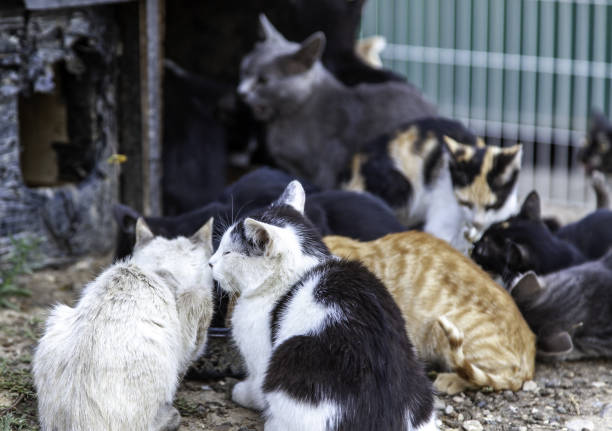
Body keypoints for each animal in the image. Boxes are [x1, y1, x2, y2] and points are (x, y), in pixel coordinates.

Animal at [209, 181, 436, 431]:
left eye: (227, 252)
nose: (210, 263)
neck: (301, 271)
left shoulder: (260, 356)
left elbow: (257, 388)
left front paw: (241, 392)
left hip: (288, 361)